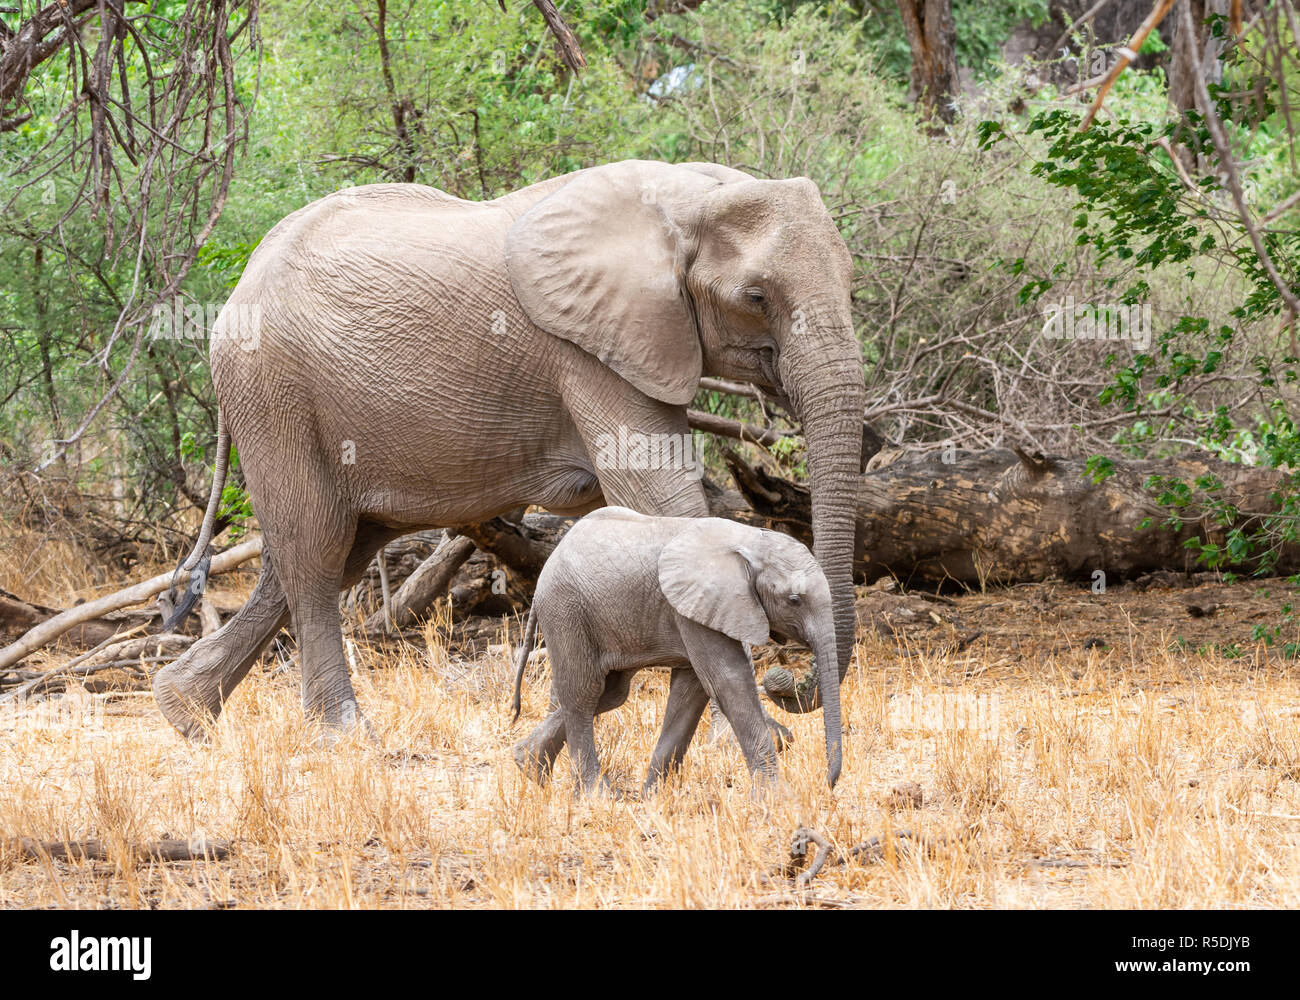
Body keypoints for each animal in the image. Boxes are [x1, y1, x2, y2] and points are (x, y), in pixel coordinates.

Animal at [153, 158, 866, 741]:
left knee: (321, 556)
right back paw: (342, 737)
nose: (788, 683)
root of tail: (235, 292)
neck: (683, 196)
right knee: (315, 552)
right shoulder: (587, 351)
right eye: (756, 297)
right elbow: (660, 497)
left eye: (852, 284)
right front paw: (754, 737)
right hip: (273, 392)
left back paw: (184, 712)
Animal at [510, 507, 842, 796]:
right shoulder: (697, 606)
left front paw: (653, 798)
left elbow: (691, 692)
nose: (827, 784)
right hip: (566, 610)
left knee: (610, 693)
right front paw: (777, 799)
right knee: (584, 693)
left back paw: (528, 766)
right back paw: (594, 795)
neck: (748, 541)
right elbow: (728, 681)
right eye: (795, 600)